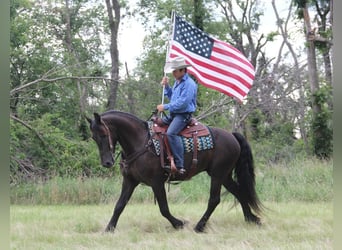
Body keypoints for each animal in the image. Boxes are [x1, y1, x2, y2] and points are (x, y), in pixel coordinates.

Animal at [87, 110, 264, 231]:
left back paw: (199, 226)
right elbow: (119, 205)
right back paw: (251, 218)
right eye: (94, 137)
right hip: (225, 175)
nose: (107, 162)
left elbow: (164, 209)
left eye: (104, 134)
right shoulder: (130, 181)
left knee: (214, 200)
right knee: (239, 192)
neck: (141, 143)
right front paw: (109, 228)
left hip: (218, 175)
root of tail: (232, 136)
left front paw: (179, 223)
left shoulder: (157, 183)